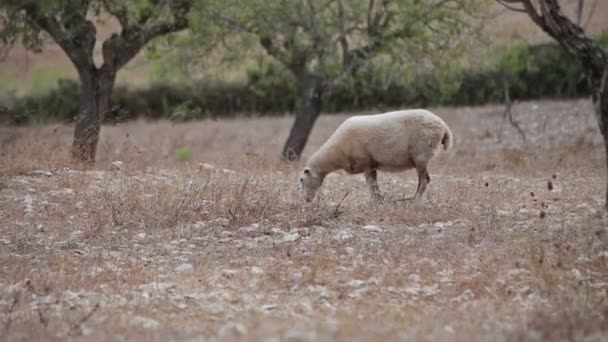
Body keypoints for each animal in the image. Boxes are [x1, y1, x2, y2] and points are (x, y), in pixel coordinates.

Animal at [298, 108, 452, 202]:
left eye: (301, 179)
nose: (306, 200)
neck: (337, 152)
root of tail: (444, 126)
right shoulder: (370, 164)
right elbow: (373, 184)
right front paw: (379, 200)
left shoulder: (366, 162)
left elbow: (371, 185)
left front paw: (375, 201)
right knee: (422, 179)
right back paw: (413, 197)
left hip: (422, 151)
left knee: (425, 180)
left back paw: (415, 200)